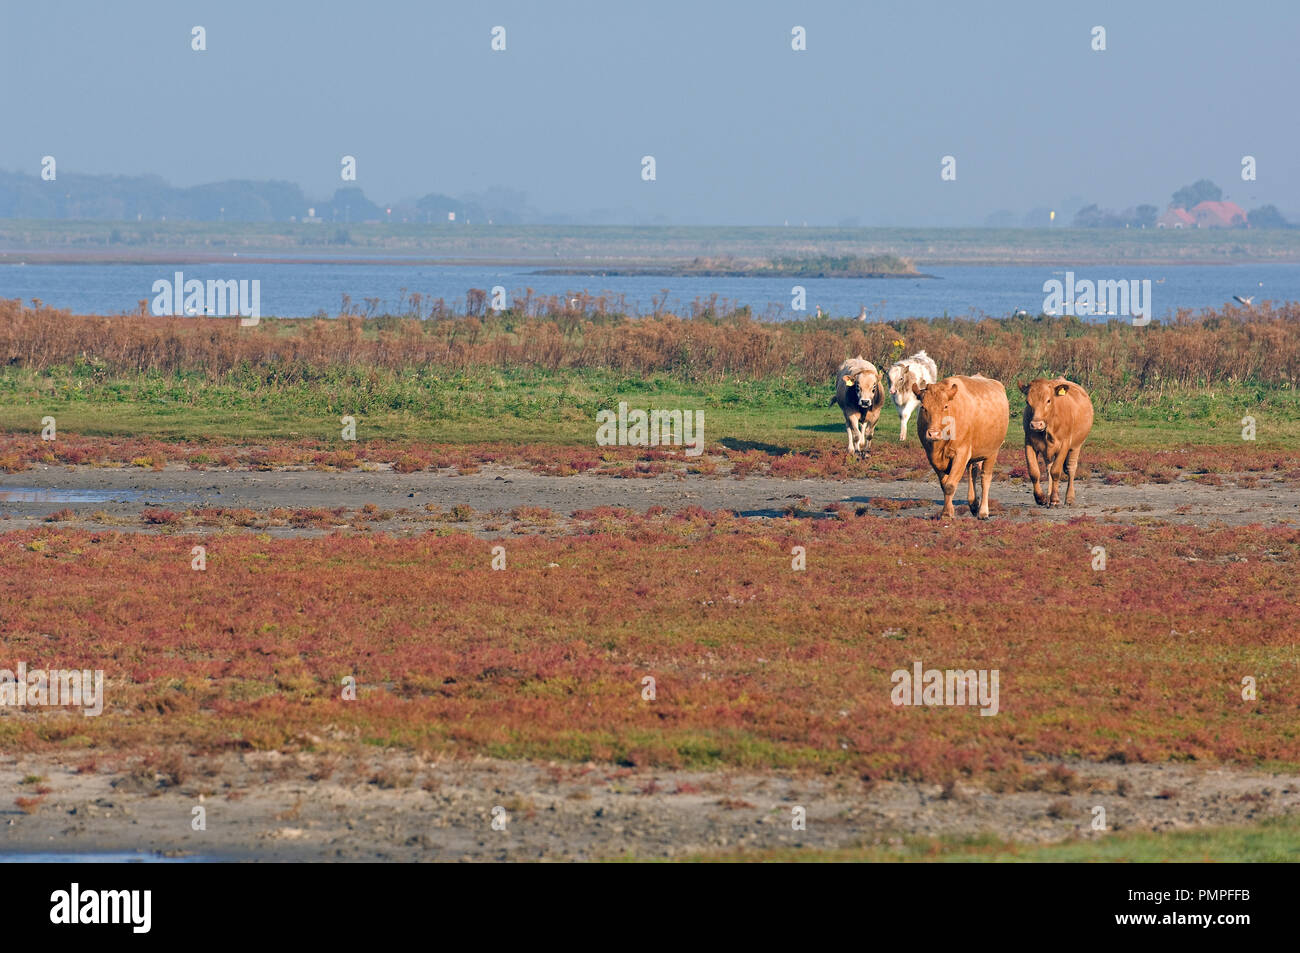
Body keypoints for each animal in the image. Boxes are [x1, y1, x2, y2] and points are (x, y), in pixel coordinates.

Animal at [913, 374, 1010, 519]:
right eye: (923, 407)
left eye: (945, 406)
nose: (933, 433)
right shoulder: (931, 456)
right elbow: (944, 484)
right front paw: (949, 511)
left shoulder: (961, 453)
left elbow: (950, 485)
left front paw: (946, 514)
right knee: (972, 473)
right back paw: (973, 504)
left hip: (992, 451)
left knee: (985, 478)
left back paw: (983, 512)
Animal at [1018, 378, 1094, 506]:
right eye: (1027, 401)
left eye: (1048, 400)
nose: (1036, 424)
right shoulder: (1028, 443)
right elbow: (1034, 472)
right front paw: (1040, 498)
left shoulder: (1064, 445)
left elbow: (1056, 471)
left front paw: (1054, 499)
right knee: (1048, 468)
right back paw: (1048, 496)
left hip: (1076, 445)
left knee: (1071, 468)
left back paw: (1069, 498)